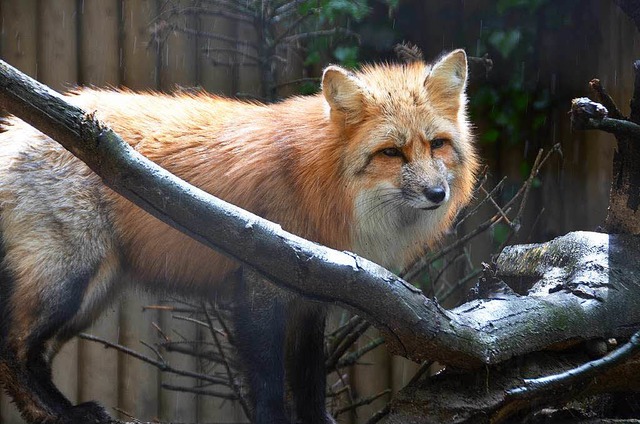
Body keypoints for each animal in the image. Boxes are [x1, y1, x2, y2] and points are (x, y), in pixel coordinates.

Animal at [0, 50, 476, 424]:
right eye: (391, 152)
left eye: (437, 144)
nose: (437, 194)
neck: (318, 180)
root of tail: (15, 131)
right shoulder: (260, 286)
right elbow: (267, 379)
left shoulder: (312, 298)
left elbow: (309, 377)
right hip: (71, 280)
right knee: (14, 351)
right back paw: (64, 412)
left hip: (96, 292)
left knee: (31, 354)